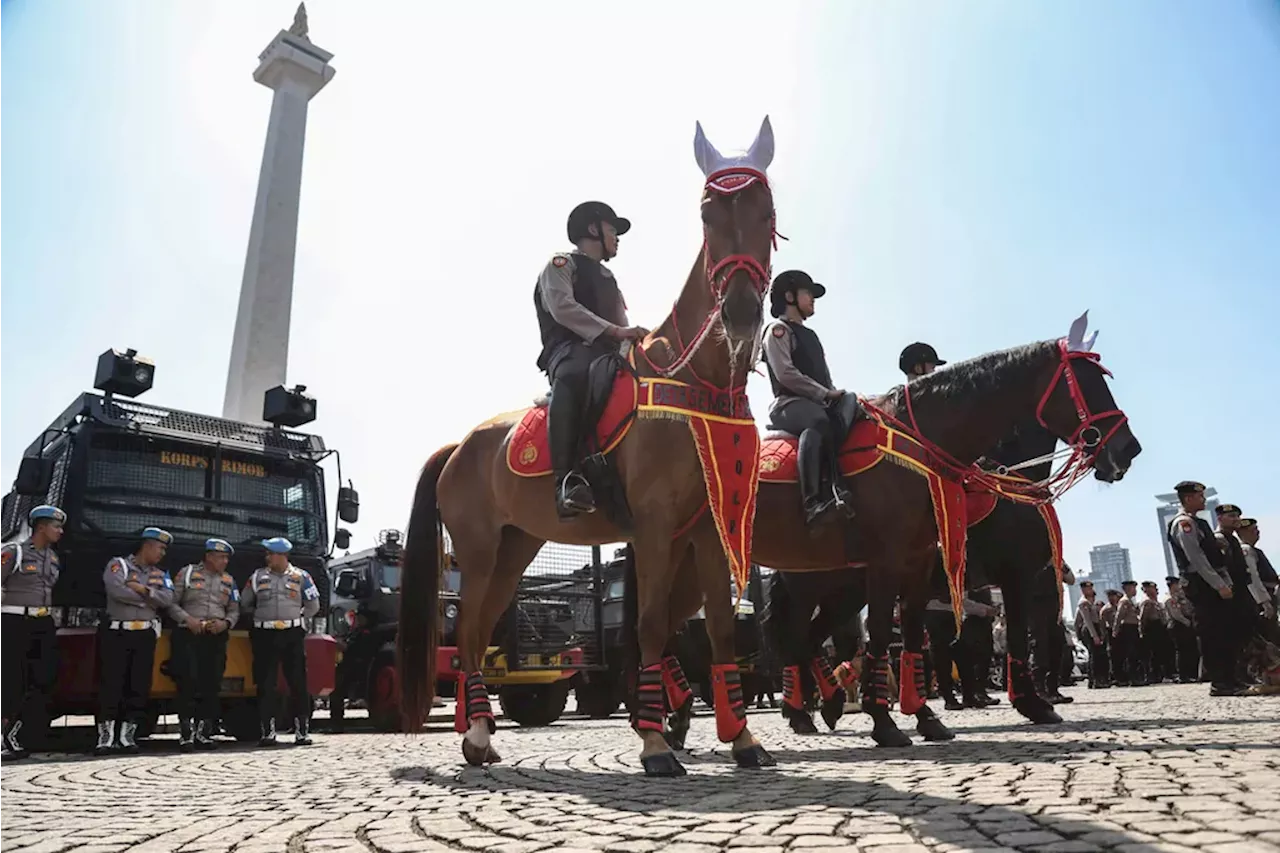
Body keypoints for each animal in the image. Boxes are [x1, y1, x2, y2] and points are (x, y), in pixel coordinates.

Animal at [399, 117, 778, 778]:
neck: (696, 383)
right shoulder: (653, 527)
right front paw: (655, 744)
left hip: (515, 549)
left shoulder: (710, 526)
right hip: (476, 549)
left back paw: (481, 737)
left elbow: (721, 630)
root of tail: (460, 445)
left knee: (483, 628)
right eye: (708, 215)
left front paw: (743, 739)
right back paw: (477, 734)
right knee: (467, 633)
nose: (738, 311)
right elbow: (649, 626)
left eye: (766, 209)